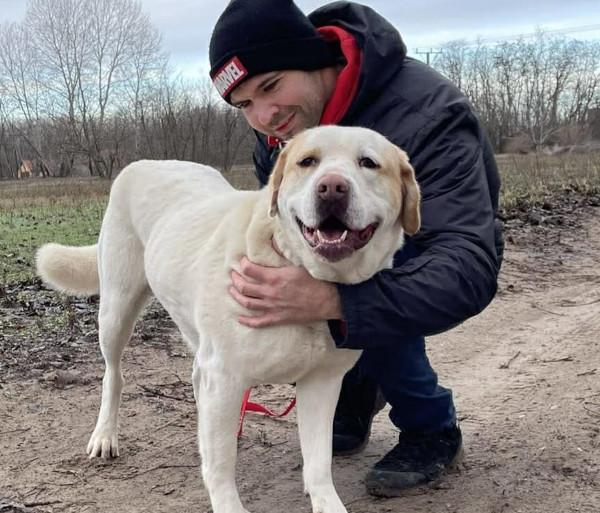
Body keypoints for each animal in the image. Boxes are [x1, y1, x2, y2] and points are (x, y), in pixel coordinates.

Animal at [36, 125, 420, 513]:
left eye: (368, 163)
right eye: (307, 161)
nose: (331, 187)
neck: (299, 270)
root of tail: (148, 162)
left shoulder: (321, 382)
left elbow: (318, 461)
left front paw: (326, 501)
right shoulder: (225, 378)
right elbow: (222, 463)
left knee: (194, 376)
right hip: (117, 310)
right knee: (114, 376)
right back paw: (105, 435)